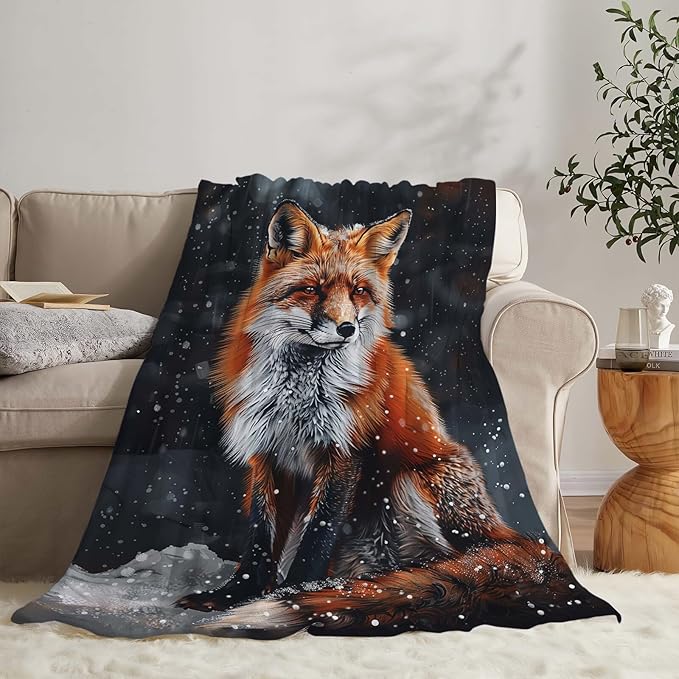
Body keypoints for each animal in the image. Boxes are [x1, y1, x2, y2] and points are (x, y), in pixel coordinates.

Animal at [176, 199, 614, 636]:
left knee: (465, 564)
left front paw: (293, 593)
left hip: (415, 482)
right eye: (312, 289)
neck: (299, 392)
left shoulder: (342, 455)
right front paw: (233, 596)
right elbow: (260, 539)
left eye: (359, 291)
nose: (346, 328)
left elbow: (317, 537)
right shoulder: (268, 453)